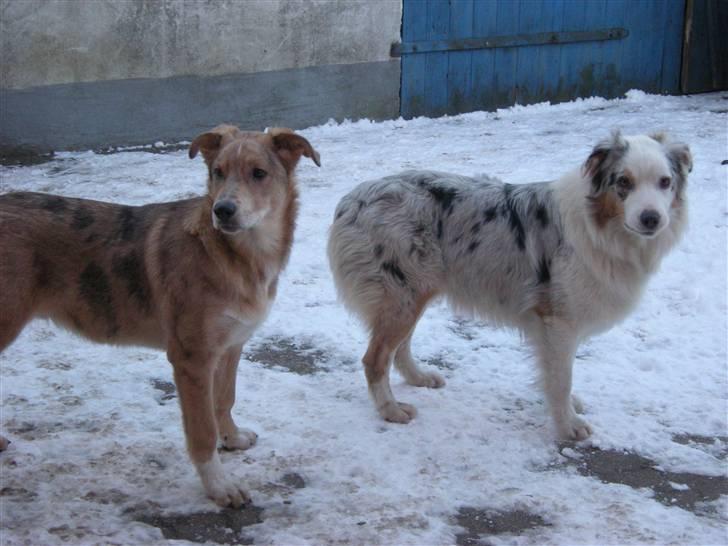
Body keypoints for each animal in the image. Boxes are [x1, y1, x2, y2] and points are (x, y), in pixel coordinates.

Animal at [0, 124, 322, 506]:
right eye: (218, 172)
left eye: (259, 174)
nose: (222, 210)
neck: (239, 257)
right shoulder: (191, 359)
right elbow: (202, 430)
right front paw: (219, 486)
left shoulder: (231, 345)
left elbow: (224, 400)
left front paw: (232, 438)